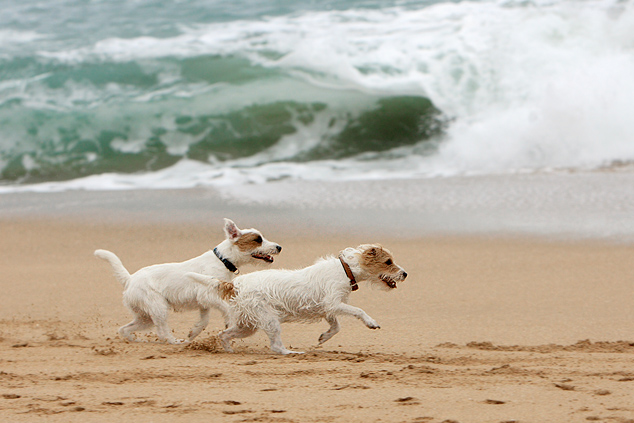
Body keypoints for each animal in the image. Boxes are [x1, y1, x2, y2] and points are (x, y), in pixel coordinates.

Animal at [94, 220, 282, 346]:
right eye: (258, 239)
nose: (279, 247)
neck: (222, 260)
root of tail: (130, 279)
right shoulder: (208, 295)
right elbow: (226, 309)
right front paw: (230, 322)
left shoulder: (204, 303)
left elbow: (204, 321)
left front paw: (194, 332)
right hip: (158, 307)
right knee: (162, 331)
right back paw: (174, 341)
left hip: (145, 317)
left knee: (125, 329)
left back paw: (134, 339)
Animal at [186, 243, 404, 356]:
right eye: (388, 262)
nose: (405, 274)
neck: (345, 269)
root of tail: (236, 284)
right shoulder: (333, 303)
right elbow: (359, 311)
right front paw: (371, 322)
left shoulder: (328, 308)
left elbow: (336, 326)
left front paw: (324, 337)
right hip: (269, 321)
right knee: (275, 346)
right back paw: (292, 353)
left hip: (248, 325)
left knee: (223, 334)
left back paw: (229, 350)